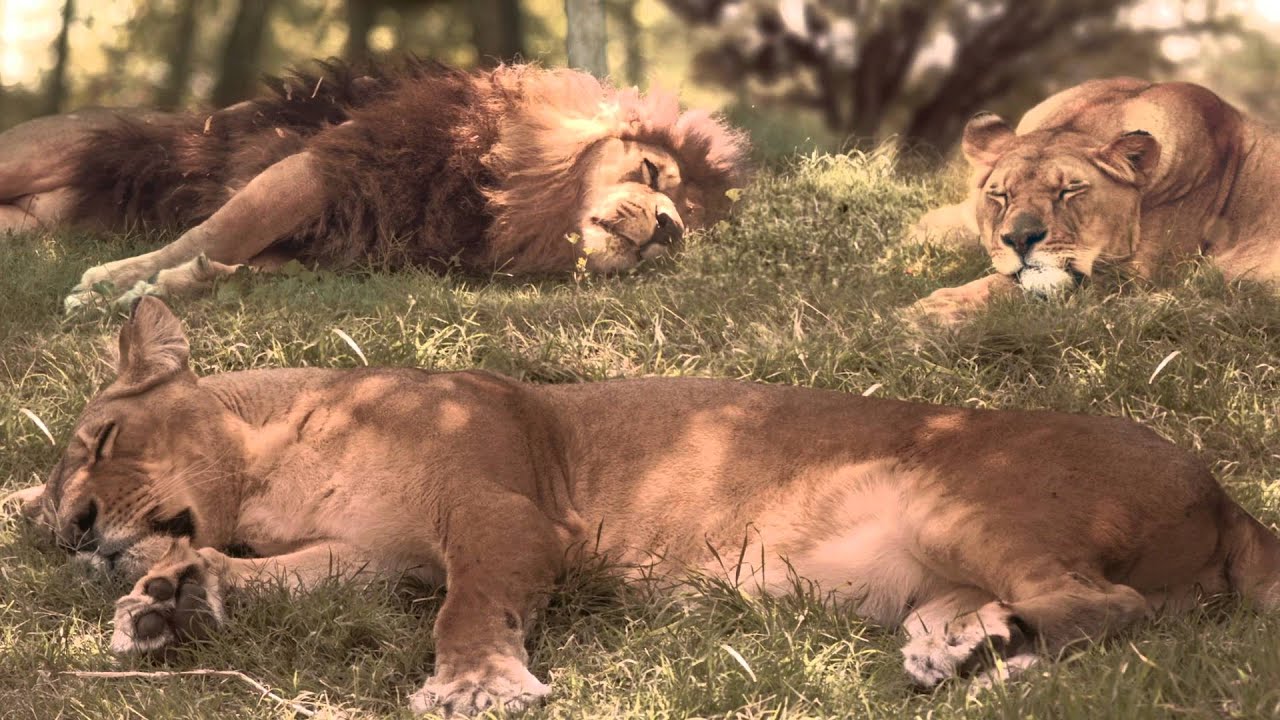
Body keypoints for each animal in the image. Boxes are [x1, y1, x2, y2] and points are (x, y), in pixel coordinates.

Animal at [0, 58, 748, 310]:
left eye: (687, 228)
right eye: (651, 173)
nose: (666, 227)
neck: (507, 207)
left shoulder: (348, 251)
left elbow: (238, 266)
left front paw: (167, 288)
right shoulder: (336, 162)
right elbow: (219, 228)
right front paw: (113, 283)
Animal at [6, 296, 1280, 715]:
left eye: (100, 442)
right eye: (53, 504)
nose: (74, 531)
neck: (281, 461)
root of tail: (1223, 494)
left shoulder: (508, 517)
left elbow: (469, 607)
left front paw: (478, 683)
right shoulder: (379, 557)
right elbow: (272, 578)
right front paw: (167, 600)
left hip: (972, 498)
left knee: (1112, 613)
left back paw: (1000, 675)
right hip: (933, 561)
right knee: (1020, 605)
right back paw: (953, 651)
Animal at [908, 77, 1280, 322]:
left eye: (1070, 190)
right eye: (1000, 194)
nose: (1020, 239)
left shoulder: (1131, 276)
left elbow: (1004, 287)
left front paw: (932, 313)